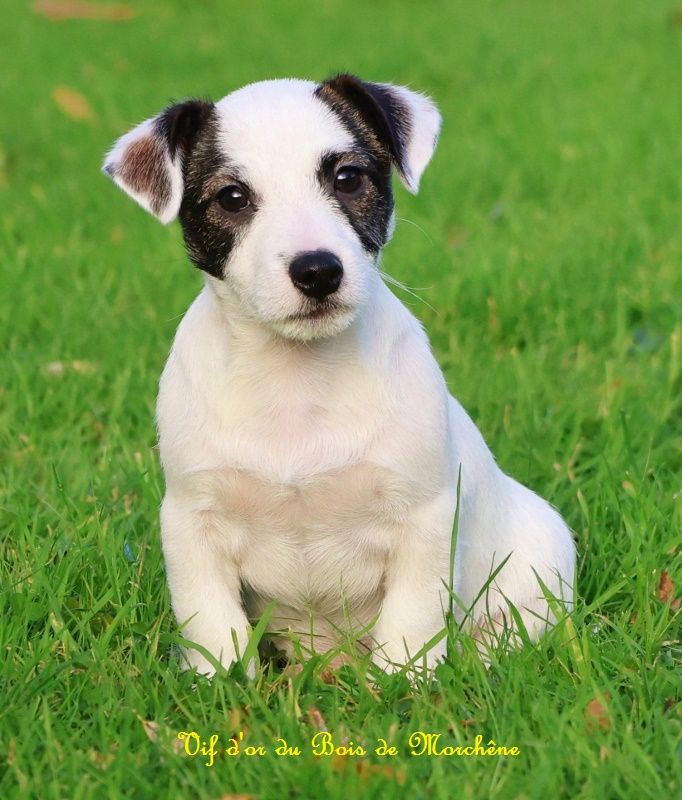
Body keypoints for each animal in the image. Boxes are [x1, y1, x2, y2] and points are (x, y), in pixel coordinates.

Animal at [102, 75, 572, 676]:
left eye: (347, 178)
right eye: (232, 197)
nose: (318, 270)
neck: (295, 380)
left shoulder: (423, 521)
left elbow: (410, 623)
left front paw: (404, 685)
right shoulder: (192, 522)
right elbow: (212, 623)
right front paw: (221, 684)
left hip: (543, 565)